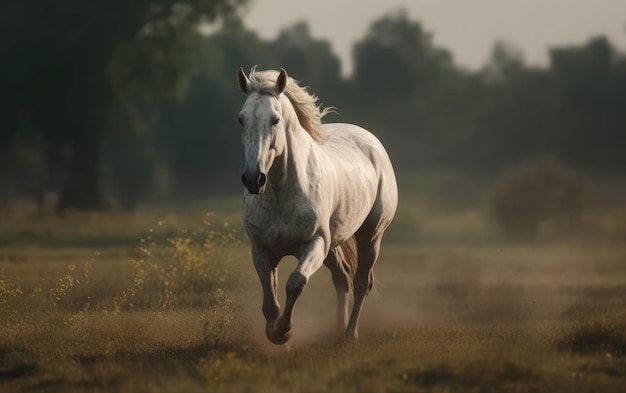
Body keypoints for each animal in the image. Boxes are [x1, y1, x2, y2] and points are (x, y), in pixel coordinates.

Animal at [234, 67, 394, 344]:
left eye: (275, 120)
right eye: (242, 119)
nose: (254, 179)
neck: (281, 195)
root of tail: (372, 141)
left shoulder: (315, 244)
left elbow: (295, 283)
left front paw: (284, 332)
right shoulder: (261, 250)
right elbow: (270, 303)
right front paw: (276, 334)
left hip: (371, 235)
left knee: (361, 282)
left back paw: (349, 335)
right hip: (333, 246)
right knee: (342, 278)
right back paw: (337, 329)